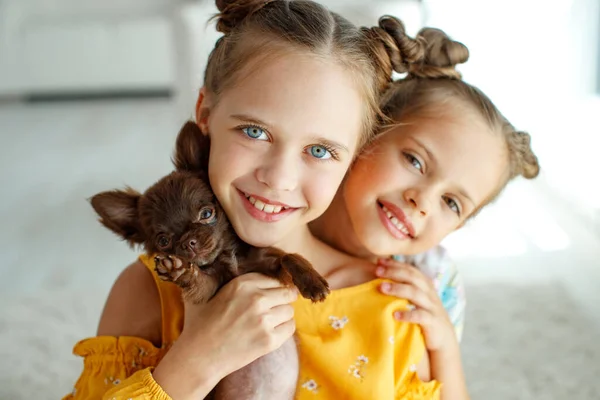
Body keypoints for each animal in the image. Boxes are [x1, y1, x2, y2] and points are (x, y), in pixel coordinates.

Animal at [91, 120, 330, 398]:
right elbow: (199, 281)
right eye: (163, 240)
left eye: (206, 214)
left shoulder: (271, 269)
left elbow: (291, 257)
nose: (188, 242)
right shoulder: (210, 291)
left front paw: (312, 282)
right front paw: (180, 271)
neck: (227, 258)